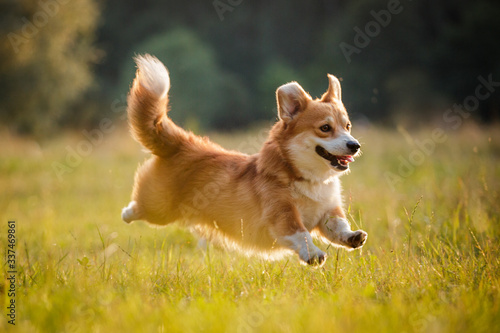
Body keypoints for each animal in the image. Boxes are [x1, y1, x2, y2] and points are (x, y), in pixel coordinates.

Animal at [122, 55, 366, 266]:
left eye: (347, 126)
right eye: (325, 128)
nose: (355, 145)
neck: (309, 178)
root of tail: (182, 143)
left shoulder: (327, 212)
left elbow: (338, 226)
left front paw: (353, 236)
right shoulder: (282, 214)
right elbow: (301, 234)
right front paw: (313, 254)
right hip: (159, 209)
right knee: (137, 208)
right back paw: (127, 213)